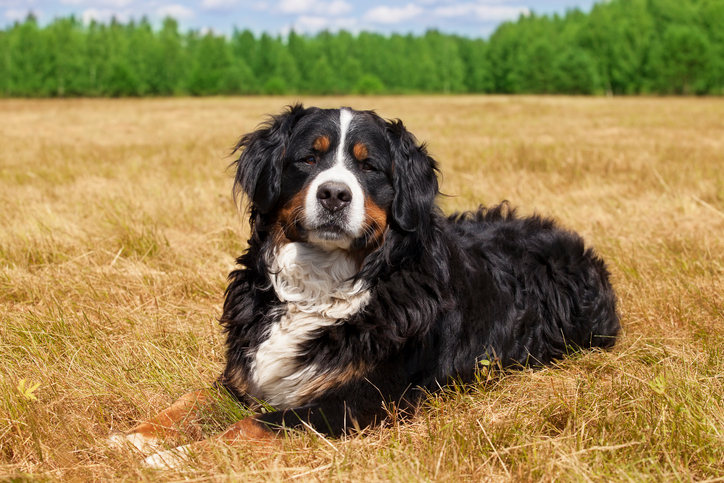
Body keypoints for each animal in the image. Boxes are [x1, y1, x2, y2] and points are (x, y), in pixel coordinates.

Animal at [110, 103, 620, 468]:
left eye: (369, 167)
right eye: (308, 158)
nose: (334, 194)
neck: (320, 284)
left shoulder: (355, 402)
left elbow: (252, 427)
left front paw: (175, 458)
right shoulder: (244, 375)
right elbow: (191, 400)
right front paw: (134, 436)